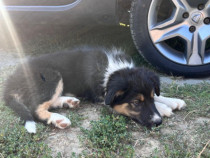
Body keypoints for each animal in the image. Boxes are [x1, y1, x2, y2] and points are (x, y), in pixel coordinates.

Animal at [2, 47, 185, 133]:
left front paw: (172, 101)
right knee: (35, 108)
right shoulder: (102, 97)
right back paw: (58, 119)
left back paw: (68, 102)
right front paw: (164, 109)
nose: (158, 122)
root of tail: (11, 80)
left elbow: (160, 97)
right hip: (52, 75)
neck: (111, 71)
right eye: (135, 102)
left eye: (152, 96)